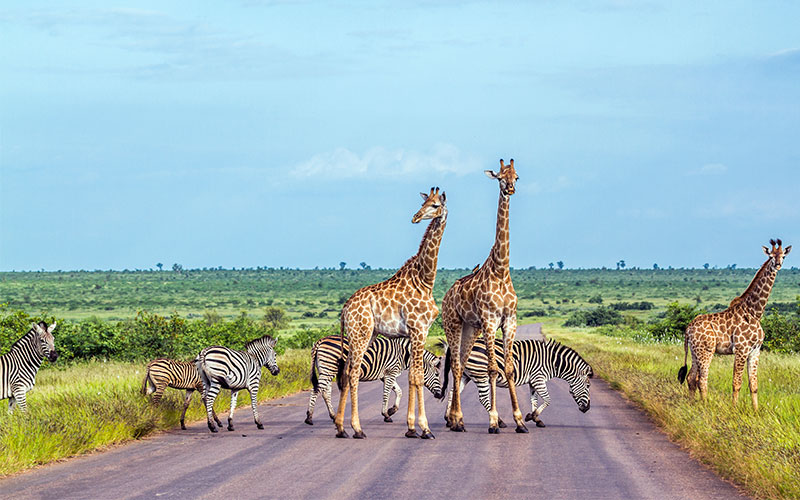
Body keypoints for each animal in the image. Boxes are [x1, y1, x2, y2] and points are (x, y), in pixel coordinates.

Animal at [304, 336, 444, 426]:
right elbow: (387, 393)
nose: (440, 395)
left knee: (325, 392)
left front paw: (392, 410)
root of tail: (320, 341)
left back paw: (333, 416)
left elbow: (399, 391)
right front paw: (386, 414)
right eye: (437, 374)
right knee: (316, 390)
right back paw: (309, 417)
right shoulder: (391, 372)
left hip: (326, 369)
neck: (404, 354)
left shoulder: (386, 374)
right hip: (329, 368)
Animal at [332, 187, 450, 438]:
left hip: (366, 335)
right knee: (353, 372)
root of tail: (345, 309)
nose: (416, 217)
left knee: (346, 371)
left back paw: (340, 427)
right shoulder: (419, 329)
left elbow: (412, 377)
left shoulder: (415, 333)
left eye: (435, 205)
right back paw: (357, 428)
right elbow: (417, 376)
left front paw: (411, 428)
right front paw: (424, 428)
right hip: (360, 334)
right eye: (424, 203)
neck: (425, 280)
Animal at [440, 160, 528, 434]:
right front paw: (493, 421)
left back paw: (456, 420)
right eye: (500, 177)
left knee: (460, 364)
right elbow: (492, 369)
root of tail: (447, 295)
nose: (510, 189)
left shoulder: (509, 321)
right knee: (456, 366)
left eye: (516, 177)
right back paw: (457, 419)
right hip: (453, 324)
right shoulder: (490, 321)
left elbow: (508, 369)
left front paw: (520, 420)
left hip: (471, 328)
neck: (501, 270)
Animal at [440, 338, 592, 428]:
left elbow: (534, 400)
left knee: (453, 392)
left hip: (466, 375)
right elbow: (548, 400)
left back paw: (448, 419)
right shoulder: (538, 378)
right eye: (588, 386)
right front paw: (533, 416)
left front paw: (535, 418)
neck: (552, 362)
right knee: (483, 398)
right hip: (480, 374)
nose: (587, 408)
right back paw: (499, 421)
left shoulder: (533, 381)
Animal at [680, 239, 792, 410]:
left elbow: (754, 384)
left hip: (695, 351)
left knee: (691, 377)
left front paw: (755, 411)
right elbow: (737, 383)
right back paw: (705, 405)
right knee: (702, 379)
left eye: (783, 256)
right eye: (771, 256)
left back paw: (692, 404)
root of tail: (688, 328)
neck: (755, 313)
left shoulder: (755, 351)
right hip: (706, 350)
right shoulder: (741, 349)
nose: (778, 264)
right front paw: (734, 409)